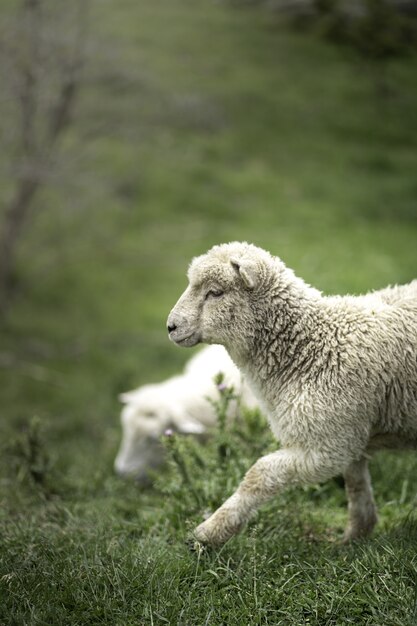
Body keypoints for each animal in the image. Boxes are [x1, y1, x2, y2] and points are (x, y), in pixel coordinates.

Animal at [167, 241, 416, 544]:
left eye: (215, 292)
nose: (171, 327)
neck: (311, 347)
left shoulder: (326, 446)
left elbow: (259, 474)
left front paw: (209, 533)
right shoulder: (346, 432)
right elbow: (355, 484)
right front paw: (355, 536)